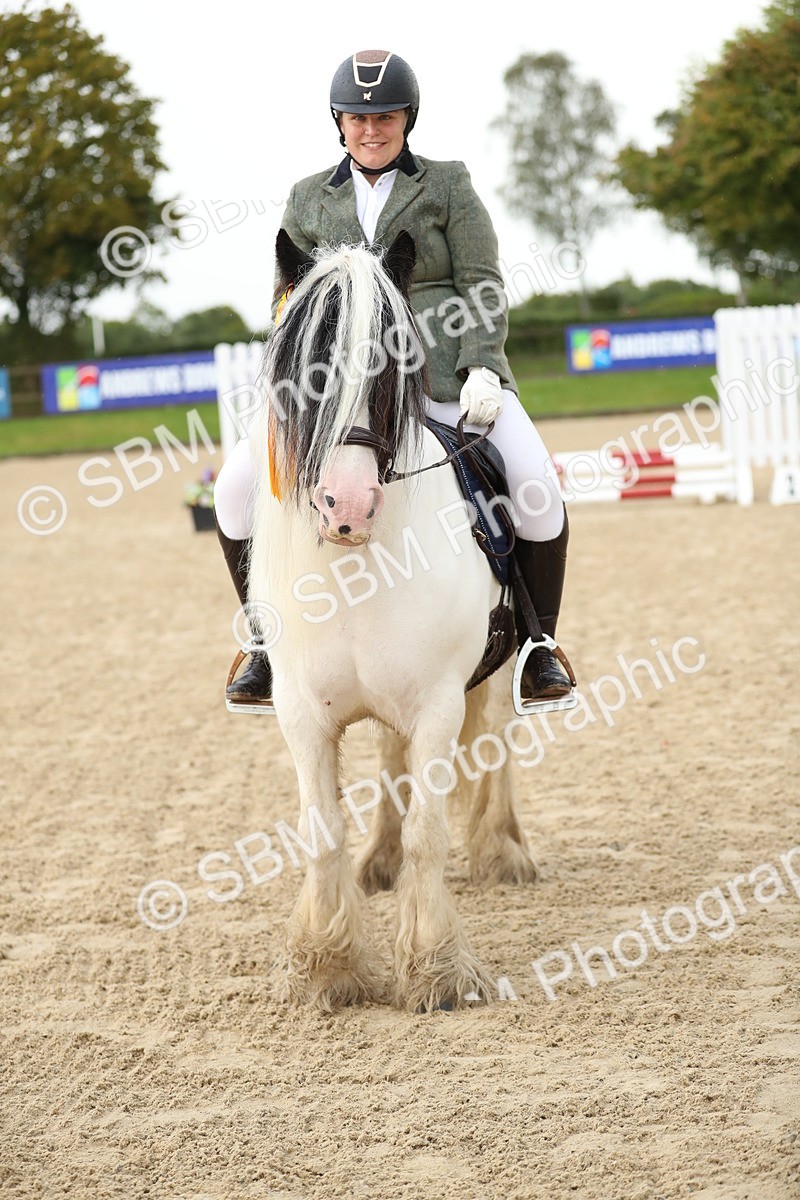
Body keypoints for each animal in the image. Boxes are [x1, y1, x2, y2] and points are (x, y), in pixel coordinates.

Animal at [247, 228, 538, 1012]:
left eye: (394, 361)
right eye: (306, 367)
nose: (346, 508)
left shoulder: (439, 702)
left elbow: (429, 835)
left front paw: (436, 969)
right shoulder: (300, 712)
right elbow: (323, 833)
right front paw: (328, 967)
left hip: (501, 670)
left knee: (497, 739)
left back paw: (504, 850)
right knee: (388, 757)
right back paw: (377, 863)